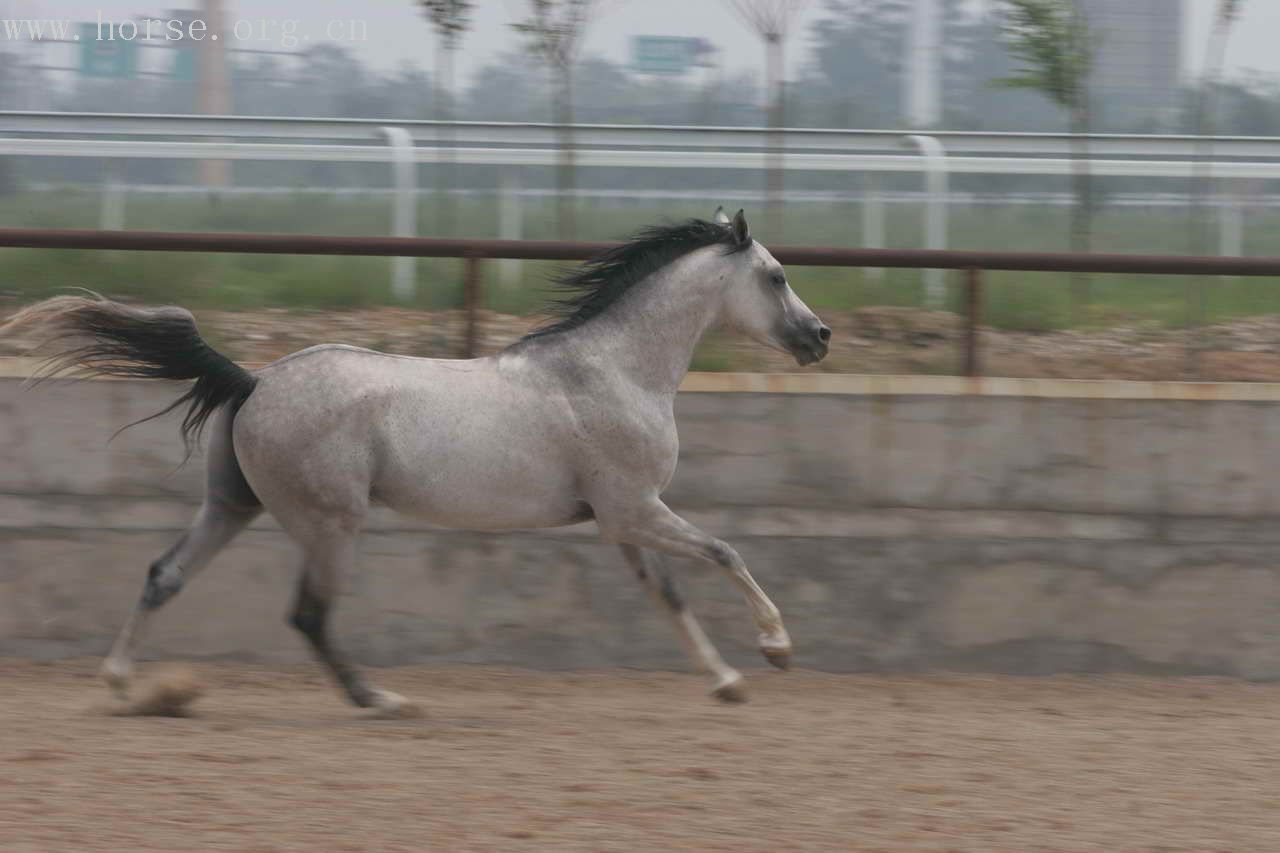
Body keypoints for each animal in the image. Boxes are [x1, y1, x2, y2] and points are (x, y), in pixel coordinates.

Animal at [5, 208, 829, 706]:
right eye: (777, 275)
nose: (819, 338)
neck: (612, 370)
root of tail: (255, 378)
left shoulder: (621, 519)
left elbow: (671, 593)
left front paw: (727, 681)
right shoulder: (635, 508)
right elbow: (723, 551)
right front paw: (777, 649)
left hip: (233, 505)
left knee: (164, 575)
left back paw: (120, 681)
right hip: (331, 524)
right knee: (308, 614)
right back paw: (379, 699)